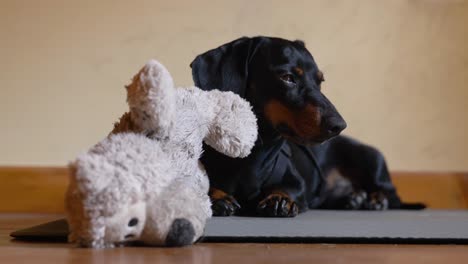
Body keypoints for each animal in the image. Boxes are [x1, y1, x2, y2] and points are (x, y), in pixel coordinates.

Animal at [190, 36, 424, 217]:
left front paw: (280, 199)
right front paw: (217, 197)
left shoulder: (297, 183)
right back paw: (354, 198)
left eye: (320, 81)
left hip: (371, 159)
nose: (339, 125)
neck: (250, 156)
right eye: (288, 78)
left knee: (392, 194)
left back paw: (375, 199)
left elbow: (290, 188)